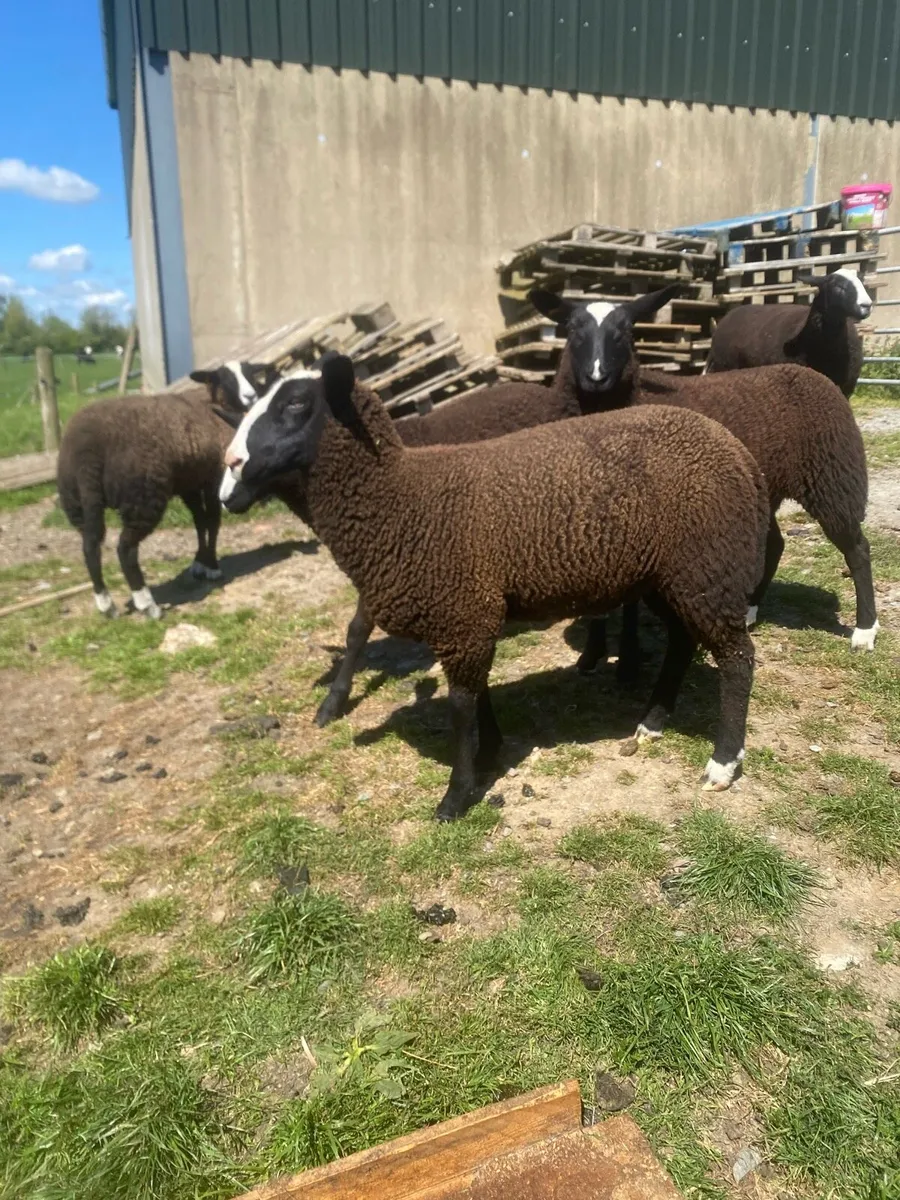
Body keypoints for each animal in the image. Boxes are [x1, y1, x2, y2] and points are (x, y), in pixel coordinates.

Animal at [57, 384, 248, 620]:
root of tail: (87, 453)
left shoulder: (189, 483)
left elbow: (200, 521)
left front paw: (200, 563)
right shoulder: (213, 476)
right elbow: (212, 521)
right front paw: (212, 566)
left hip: (76, 502)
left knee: (90, 546)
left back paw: (106, 605)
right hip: (143, 496)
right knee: (125, 549)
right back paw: (147, 604)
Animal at [219, 353, 769, 820]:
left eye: (296, 405)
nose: (229, 465)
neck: (396, 498)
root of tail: (737, 450)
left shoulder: (461, 611)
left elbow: (461, 706)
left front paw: (456, 796)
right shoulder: (467, 615)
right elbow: (477, 692)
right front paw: (490, 751)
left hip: (708, 565)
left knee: (738, 659)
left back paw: (722, 762)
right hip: (673, 574)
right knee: (683, 642)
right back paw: (652, 723)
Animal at [529, 285, 877, 681]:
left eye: (626, 331)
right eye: (572, 329)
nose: (597, 377)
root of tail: (817, 377)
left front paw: (628, 662)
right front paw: (591, 655)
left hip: (835, 475)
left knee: (857, 549)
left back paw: (865, 631)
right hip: (762, 484)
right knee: (776, 544)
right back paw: (751, 610)